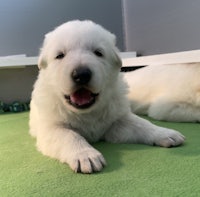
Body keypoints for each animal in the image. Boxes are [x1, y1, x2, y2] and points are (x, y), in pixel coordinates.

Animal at [29, 20, 184, 173]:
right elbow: (70, 135)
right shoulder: (51, 127)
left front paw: (165, 133)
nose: (81, 74)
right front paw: (86, 155)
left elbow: (141, 123)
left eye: (98, 53)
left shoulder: (118, 120)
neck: (87, 112)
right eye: (60, 55)